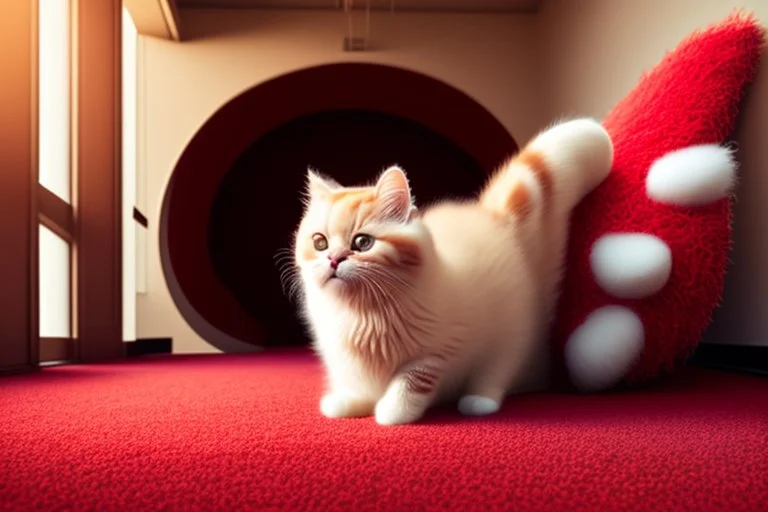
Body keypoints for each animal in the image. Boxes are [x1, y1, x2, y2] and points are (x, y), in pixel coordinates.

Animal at [286, 119, 612, 424]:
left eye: (362, 243)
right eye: (320, 242)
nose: (333, 259)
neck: (362, 314)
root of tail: (497, 219)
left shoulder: (438, 350)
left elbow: (411, 381)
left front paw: (392, 412)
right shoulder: (342, 358)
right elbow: (357, 384)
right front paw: (347, 402)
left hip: (509, 335)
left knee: (499, 372)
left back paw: (479, 401)